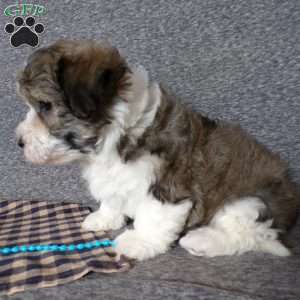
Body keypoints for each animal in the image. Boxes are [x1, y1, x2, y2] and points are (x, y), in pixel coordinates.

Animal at [16, 39, 300, 260]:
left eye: (44, 106)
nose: (19, 141)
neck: (118, 134)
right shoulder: (113, 177)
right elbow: (112, 198)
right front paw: (104, 218)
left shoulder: (168, 185)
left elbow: (155, 215)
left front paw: (139, 241)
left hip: (251, 201)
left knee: (247, 235)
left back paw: (201, 240)